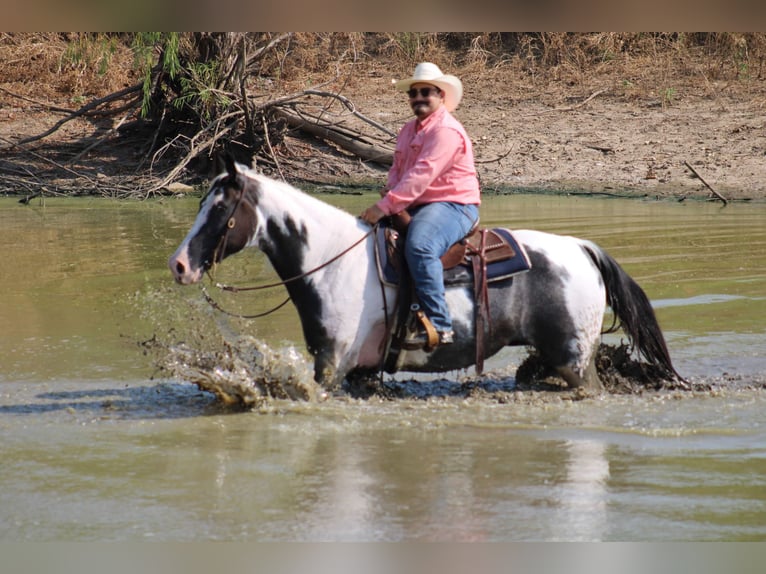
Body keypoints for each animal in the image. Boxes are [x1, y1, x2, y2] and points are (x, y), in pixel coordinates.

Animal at [170, 159, 684, 392]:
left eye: (221, 209)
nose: (179, 265)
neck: (332, 259)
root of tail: (582, 248)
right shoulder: (359, 372)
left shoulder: (332, 366)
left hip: (575, 361)